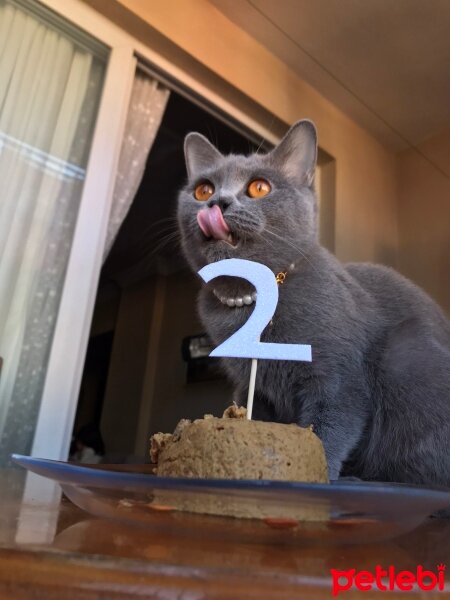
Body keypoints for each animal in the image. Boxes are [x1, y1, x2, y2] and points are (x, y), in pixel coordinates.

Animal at [176, 119, 450, 486]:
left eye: (259, 188)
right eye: (203, 190)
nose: (217, 202)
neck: (254, 299)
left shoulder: (338, 378)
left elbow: (329, 429)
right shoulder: (253, 386)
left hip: (407, 356)